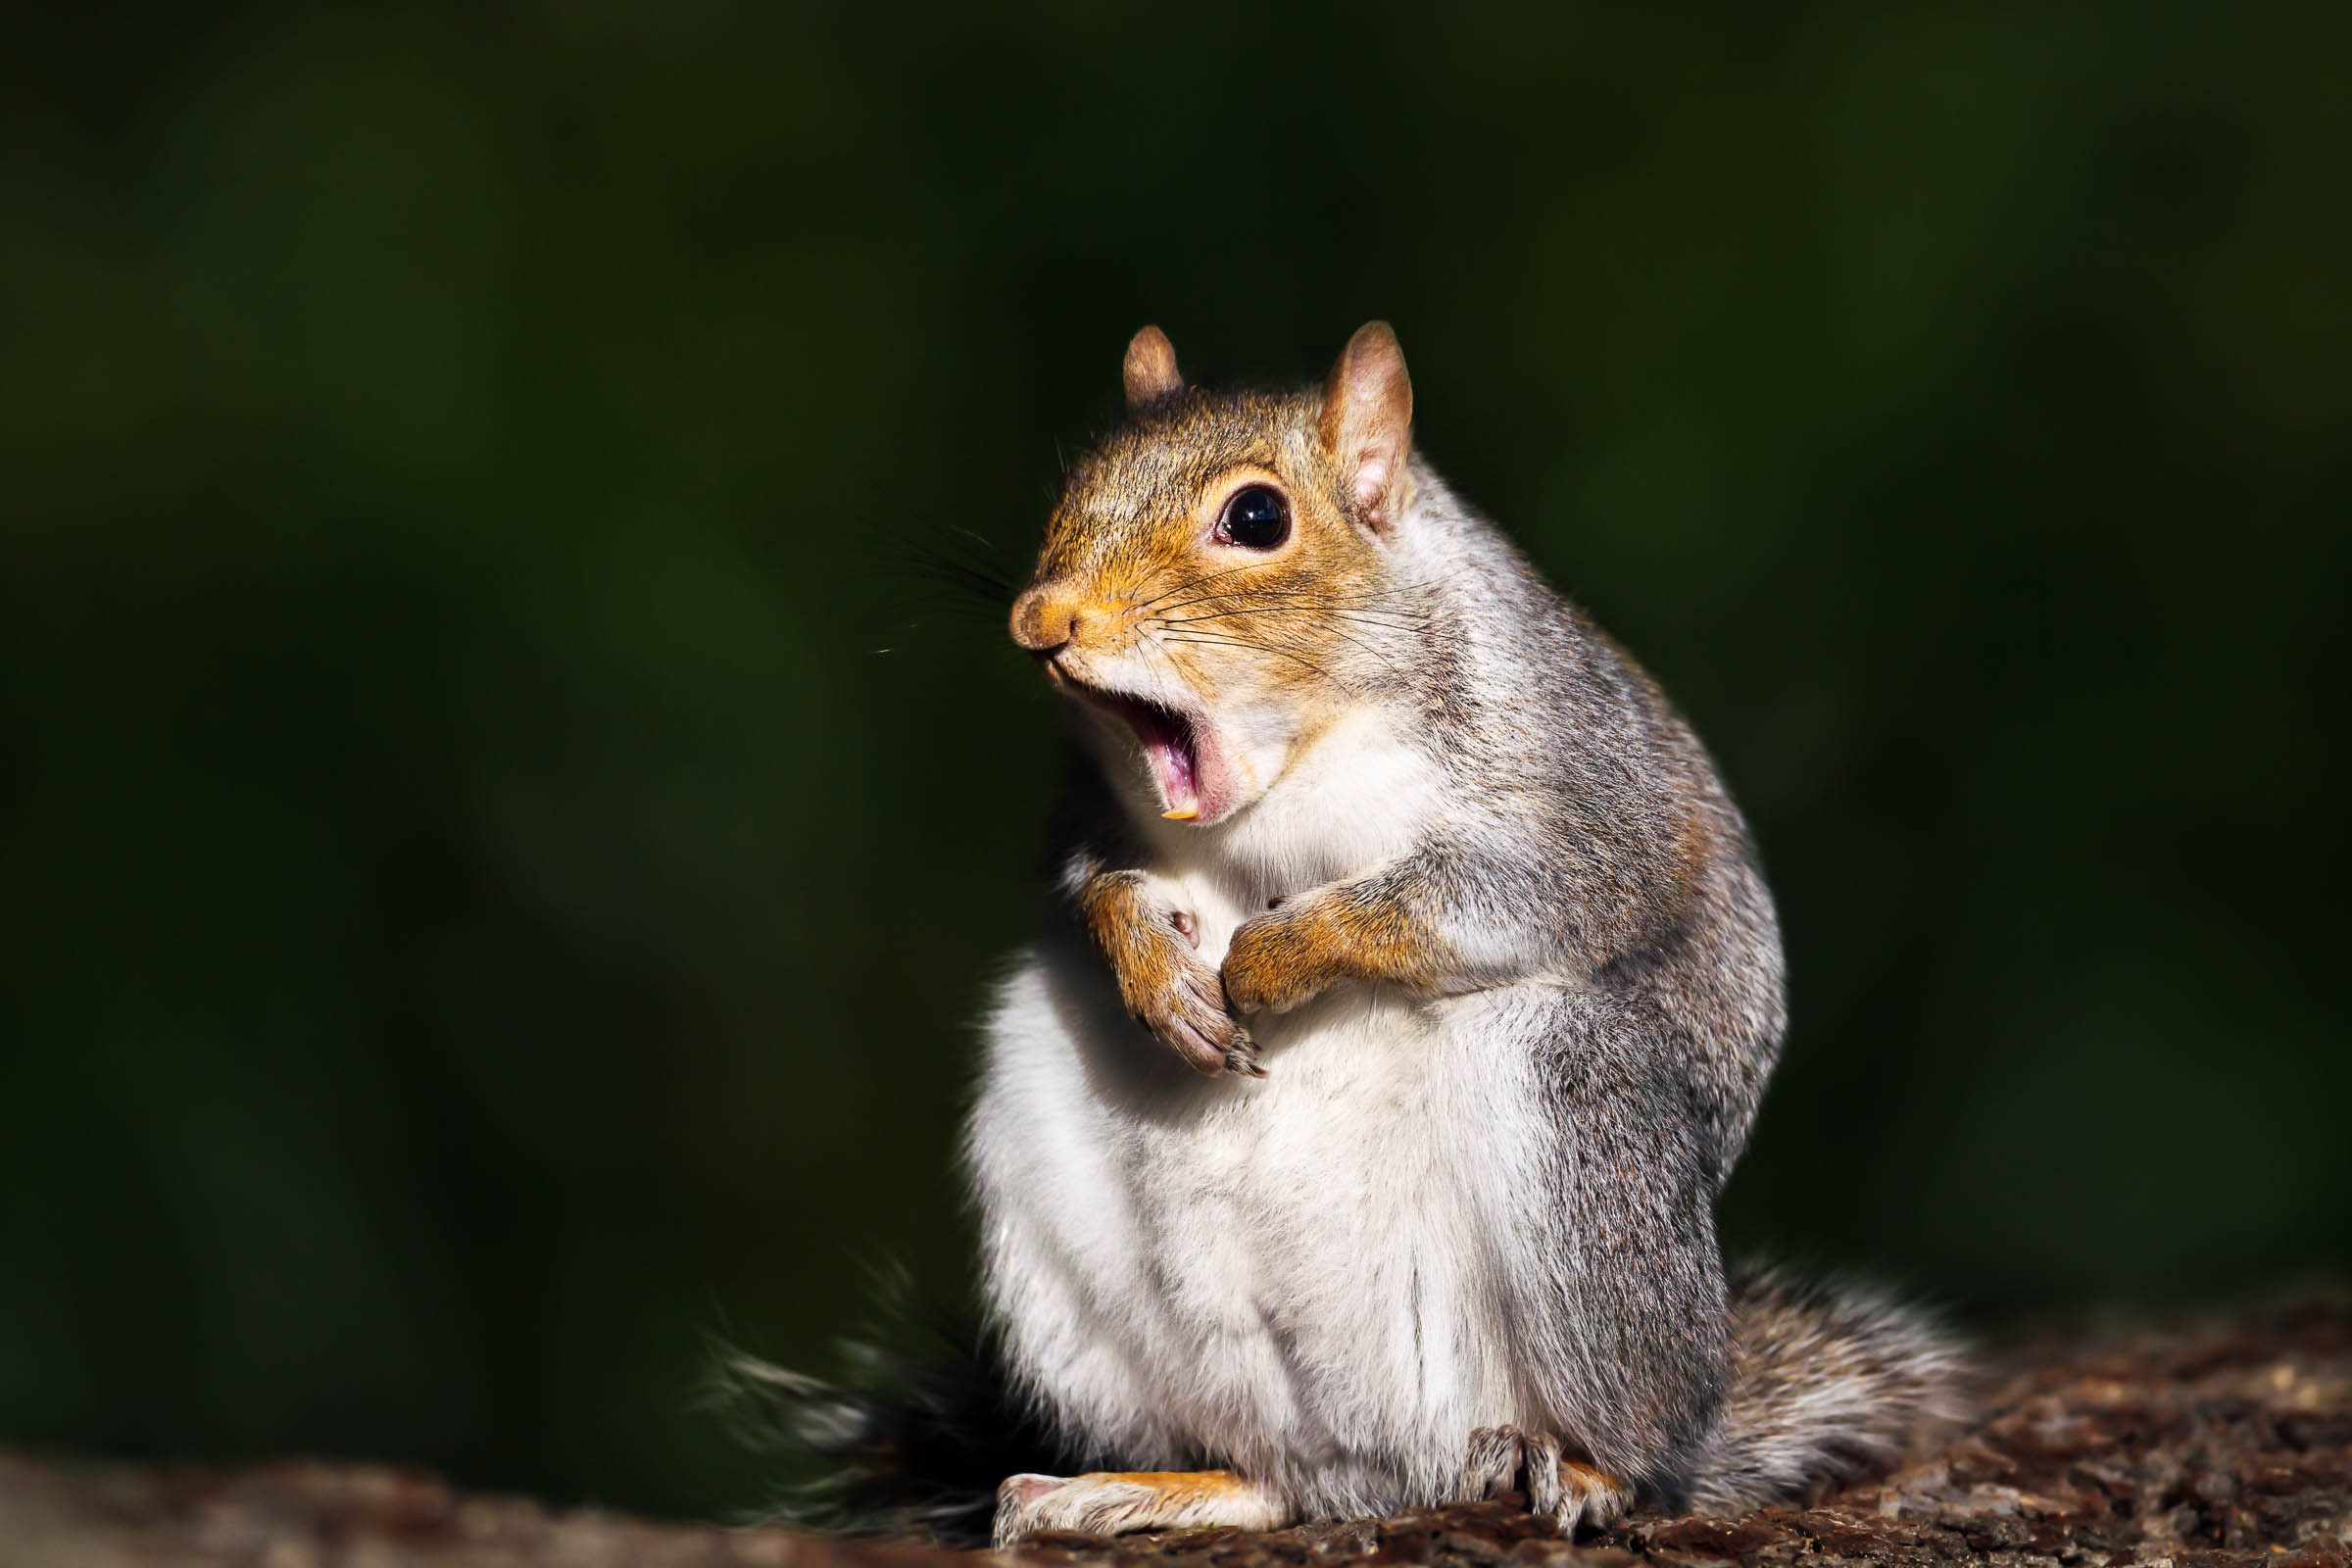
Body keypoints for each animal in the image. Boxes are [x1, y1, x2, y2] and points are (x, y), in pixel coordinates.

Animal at [729, 319, 1966, 1542]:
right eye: (1073, 487)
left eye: (1257, 518)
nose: (1041, 619)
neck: (1294, 763)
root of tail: (1396, 1460)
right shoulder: (1085, 811)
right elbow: (1093, 883)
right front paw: (1155, 968)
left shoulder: (1591, 802)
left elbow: (1490, 895)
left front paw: (1275, 958)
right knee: (1276, 1477)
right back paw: (1142, 1486)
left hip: (1579, 1127)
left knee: (1648, 1443)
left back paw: (1590, 1468)